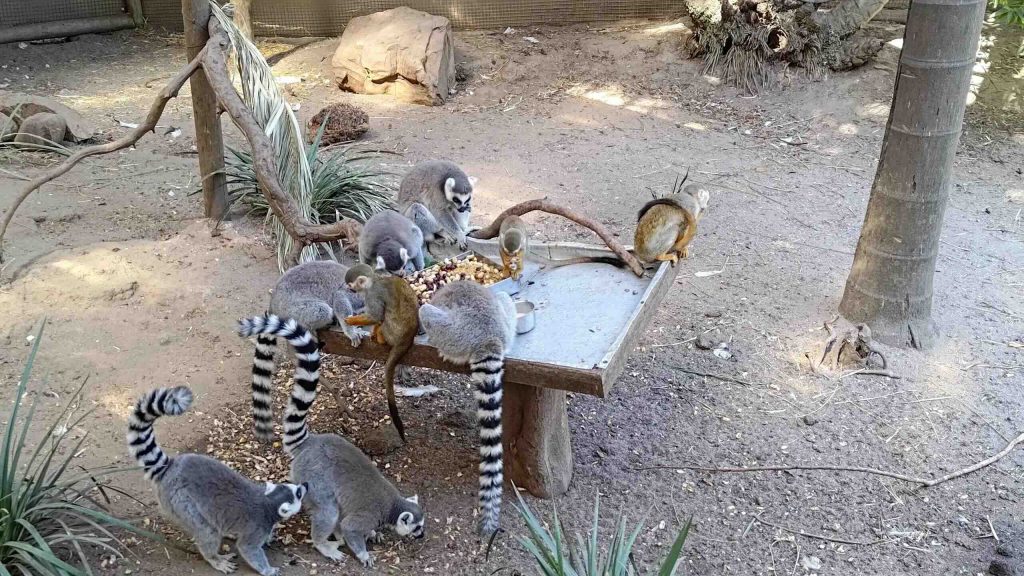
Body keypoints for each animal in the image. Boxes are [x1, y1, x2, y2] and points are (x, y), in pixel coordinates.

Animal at [127, 386, 307, 576]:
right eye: (299, 493)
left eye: (296, 488)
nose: (306, 485)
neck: (269, 502)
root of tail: (171, 467)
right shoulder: (257, 527)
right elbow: (248, 548)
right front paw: (269, 570)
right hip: (180, 502)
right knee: (206, 531)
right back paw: (215, 559)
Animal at [245, 261, 366, 442]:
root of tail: (274, 302)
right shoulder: (352, 294)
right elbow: (340, 299)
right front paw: (351, 331)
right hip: (297, 309)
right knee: (322, 311)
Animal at [262, 319, 426, 566]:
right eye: (416, 527)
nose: (422, 535)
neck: (392, 507)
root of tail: (310, 443)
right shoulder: (370, 514)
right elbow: (350, 527)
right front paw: (364, 553)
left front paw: (371, 535)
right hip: (315, 480)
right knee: (328, 511)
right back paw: (324, 545)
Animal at [343, 264, 420, 442]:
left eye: (350, 284)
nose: (348, 289)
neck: (374, 281)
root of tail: (408, 338)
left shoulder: (372, 295)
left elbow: (376, 315)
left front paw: (351, 320)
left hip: (394, 333)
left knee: (384, 317)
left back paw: (380, 336)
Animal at [497, 215, 626, 279]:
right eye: (508, 252)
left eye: (514, 252)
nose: (512, 256)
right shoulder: (502, 242)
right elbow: (501, 250)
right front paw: (507, 265)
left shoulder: (521, 245)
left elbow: (520, 253)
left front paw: (516, 265)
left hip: (526, 242)